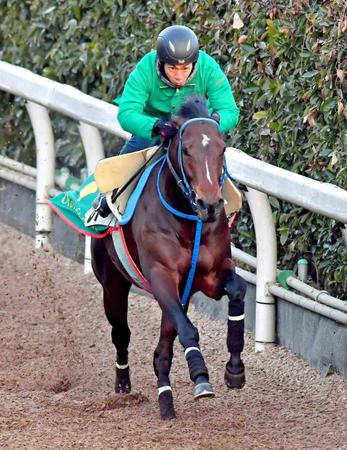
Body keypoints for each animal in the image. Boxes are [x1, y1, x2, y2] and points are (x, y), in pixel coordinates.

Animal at [89, 93, 247, 420]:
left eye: (222, 148)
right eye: (186, 150)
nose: (210, 204)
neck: (188, 221)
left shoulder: (209, 275)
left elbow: (237, 290)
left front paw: (235, 370)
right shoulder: (161, 276)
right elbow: (188, 330)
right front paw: (201, 376)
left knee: (161, 351)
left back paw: (166, 401)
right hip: (112, 284)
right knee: (121, 333)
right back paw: (123, 384)